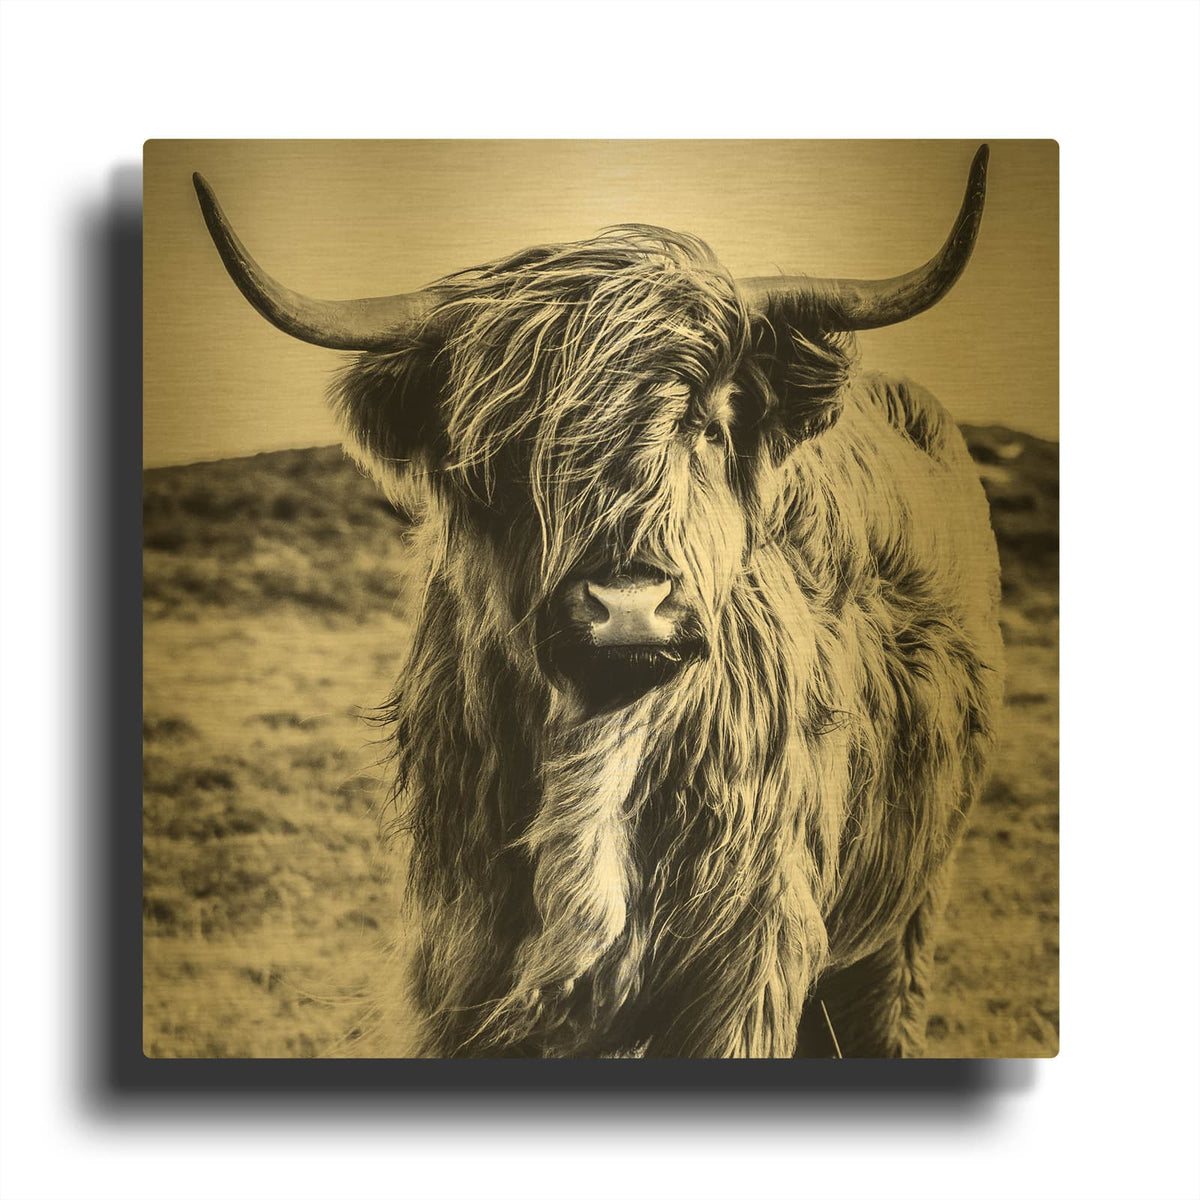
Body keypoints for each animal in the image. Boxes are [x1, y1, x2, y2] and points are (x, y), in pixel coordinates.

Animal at [193, 144, 1003, 1058]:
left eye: (710, 425)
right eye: (507, 450)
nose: (628, 603)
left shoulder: (748, 961)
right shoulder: (460, 964)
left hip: (910, 908)